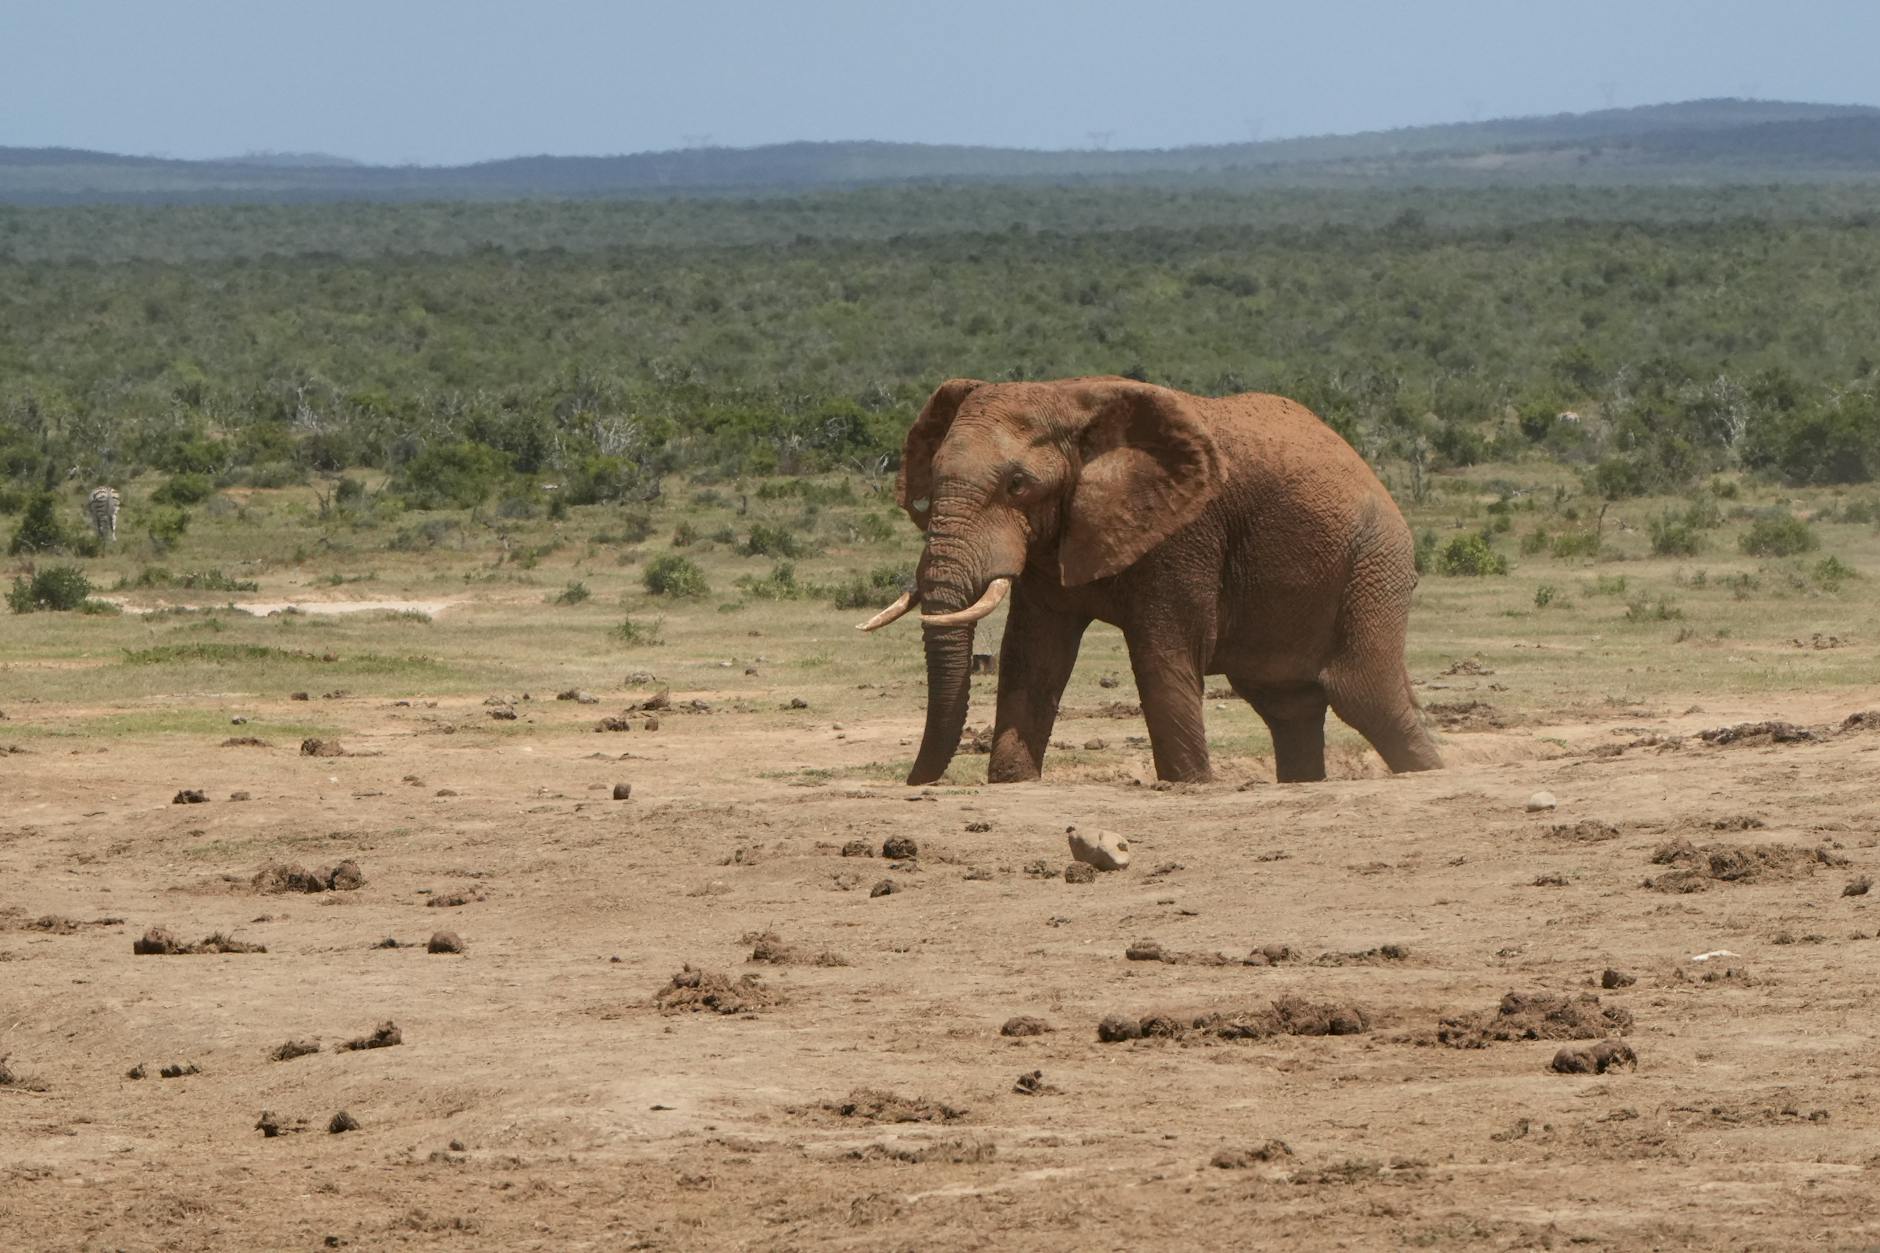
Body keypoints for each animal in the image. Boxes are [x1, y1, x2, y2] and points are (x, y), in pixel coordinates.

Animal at [857, 376, 1443, 786]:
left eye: (1017, 484)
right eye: (931, 479)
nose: (913, 783)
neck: (1072, 400)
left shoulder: (1185, 531)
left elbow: (1162, 653)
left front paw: (1190, 784)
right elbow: (1033, 655)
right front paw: (1012, 781)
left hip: (1374, 563)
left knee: (1367, 695)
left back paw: (1430, 771)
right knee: (1289, 707)